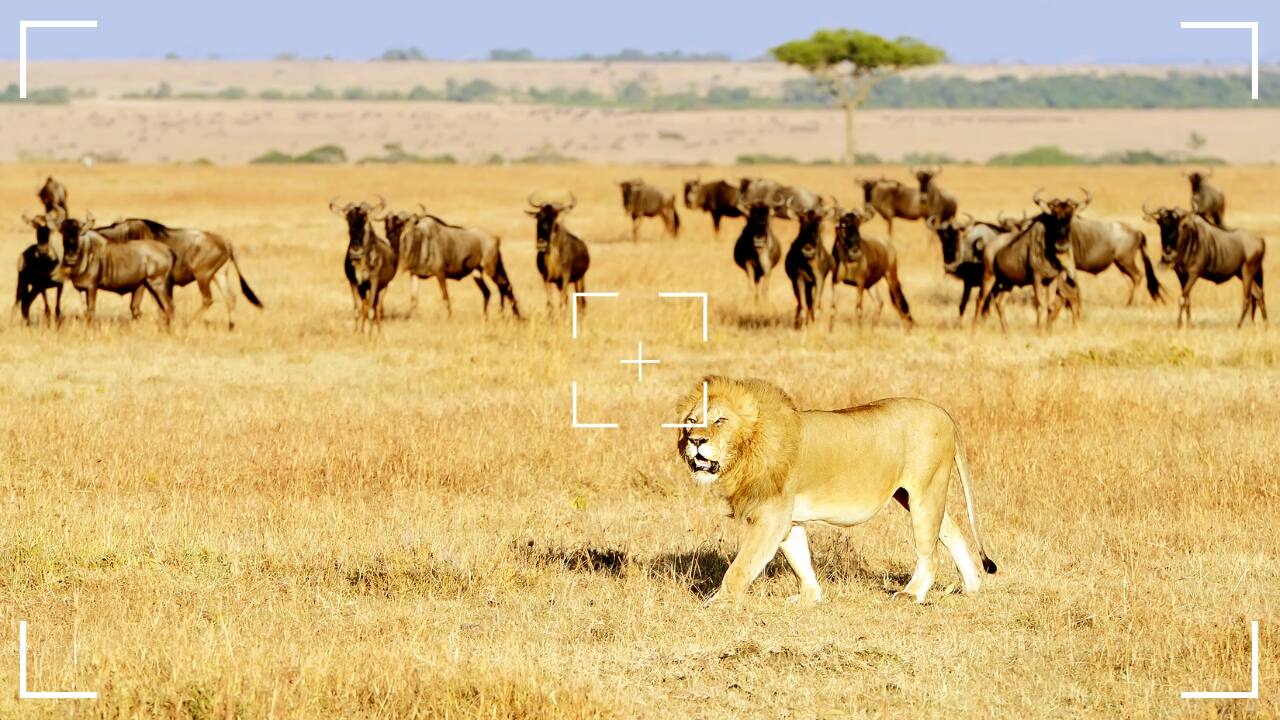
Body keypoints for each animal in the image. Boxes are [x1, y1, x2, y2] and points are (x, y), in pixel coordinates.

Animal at [675, 376, 997, 606]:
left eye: (720, 420)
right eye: (691, 421)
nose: (696, 441)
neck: (747, 450)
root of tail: (944, 413)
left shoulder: (771, 514)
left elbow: (743, 565)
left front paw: (719, 602)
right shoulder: (787, 517)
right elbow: (799, 559)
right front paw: (810, 598)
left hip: (925, 492)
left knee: (929, 552)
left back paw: (912, 594)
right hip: (912, 495)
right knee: (951, 531)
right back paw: (971, 586)